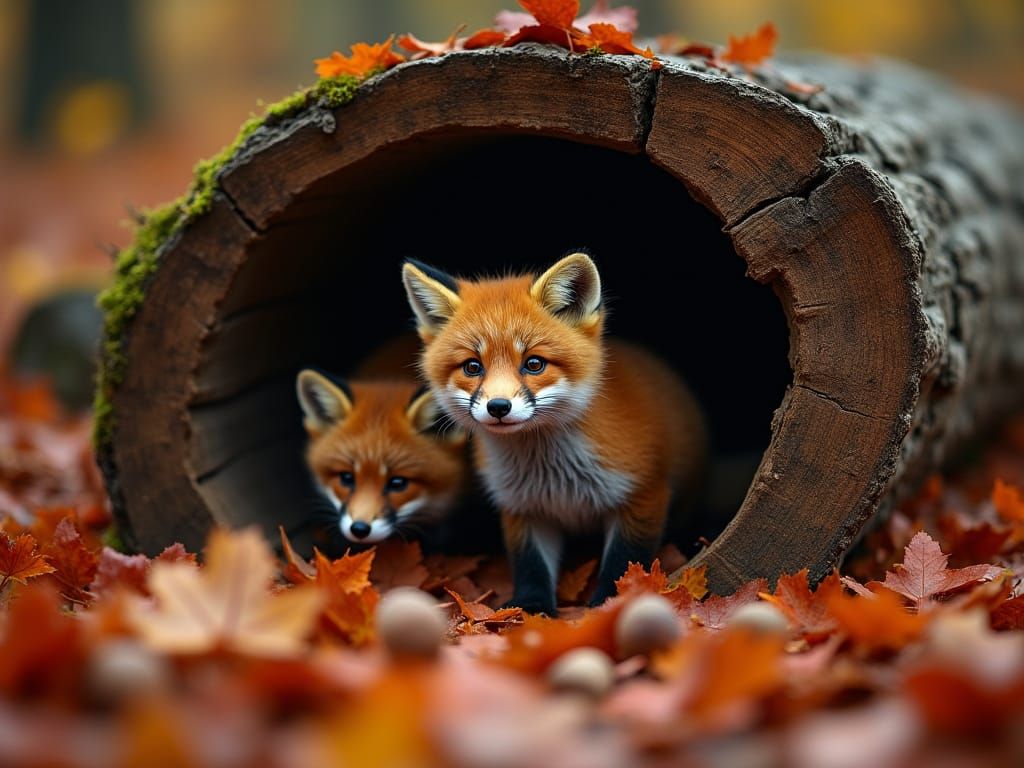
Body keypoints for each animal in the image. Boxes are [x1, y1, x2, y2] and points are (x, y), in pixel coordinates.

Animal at [402, 251, 708, 615]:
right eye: (472, 367)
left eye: (534, 364)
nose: (498, 407)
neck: (555, 477)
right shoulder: (523, 507)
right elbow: (531, 564)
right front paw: (532, 607)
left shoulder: (643, 494)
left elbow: (624, 561)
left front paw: (613, 599)